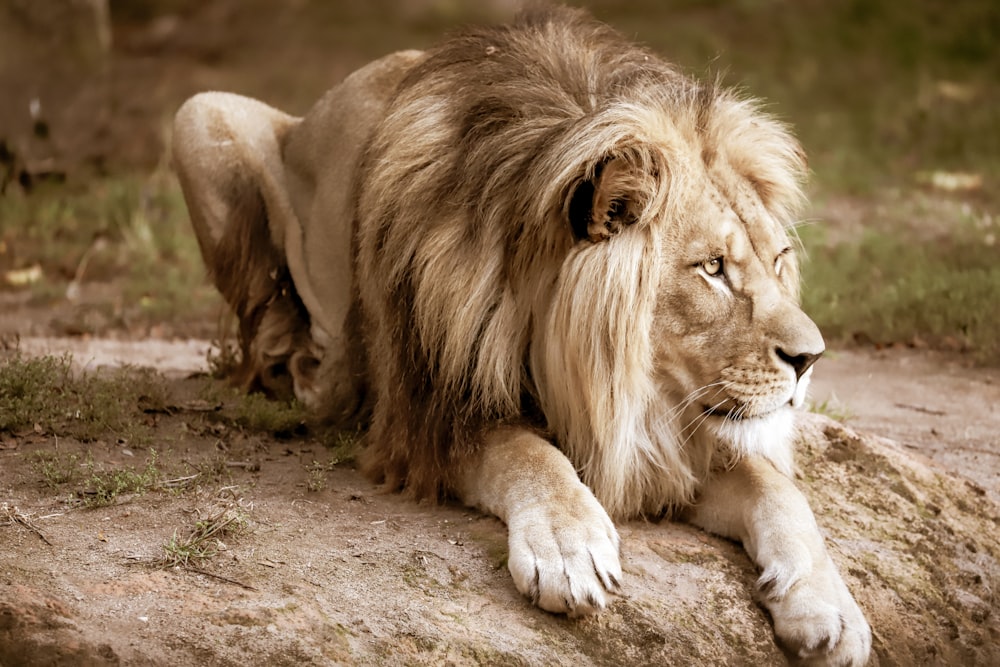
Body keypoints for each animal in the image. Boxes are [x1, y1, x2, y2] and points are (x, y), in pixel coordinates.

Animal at [176, 6, 872, 667]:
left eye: (778, 259)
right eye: (712, 268)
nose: (811, 359)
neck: (604, 383)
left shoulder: (666, 440)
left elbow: (776, 489)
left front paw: (829, 606)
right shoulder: (425, 419)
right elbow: (525, 451)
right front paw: (570, 546)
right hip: (198, 113)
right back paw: (309, 372)